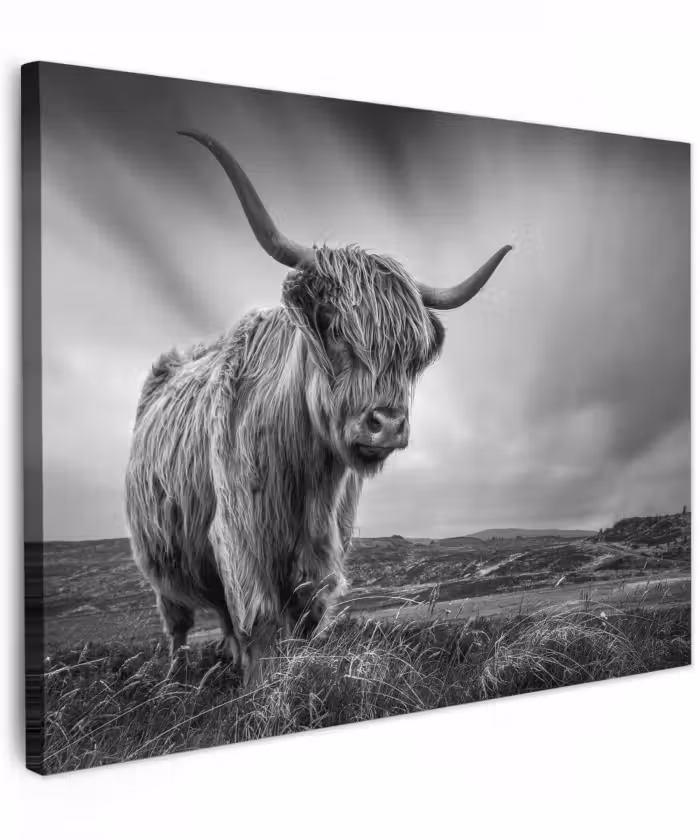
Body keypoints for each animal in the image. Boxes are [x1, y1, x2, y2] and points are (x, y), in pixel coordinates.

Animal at [125, 130, 512, 685]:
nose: (387, 424)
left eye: (411, 353)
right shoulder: (240, 536)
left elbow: (303, 617)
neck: (306, 475)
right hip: (159, 558)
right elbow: (262, 620)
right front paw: (261, 691)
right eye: (331, 324)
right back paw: (176, 678)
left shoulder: (325, 546)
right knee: (176, 621)